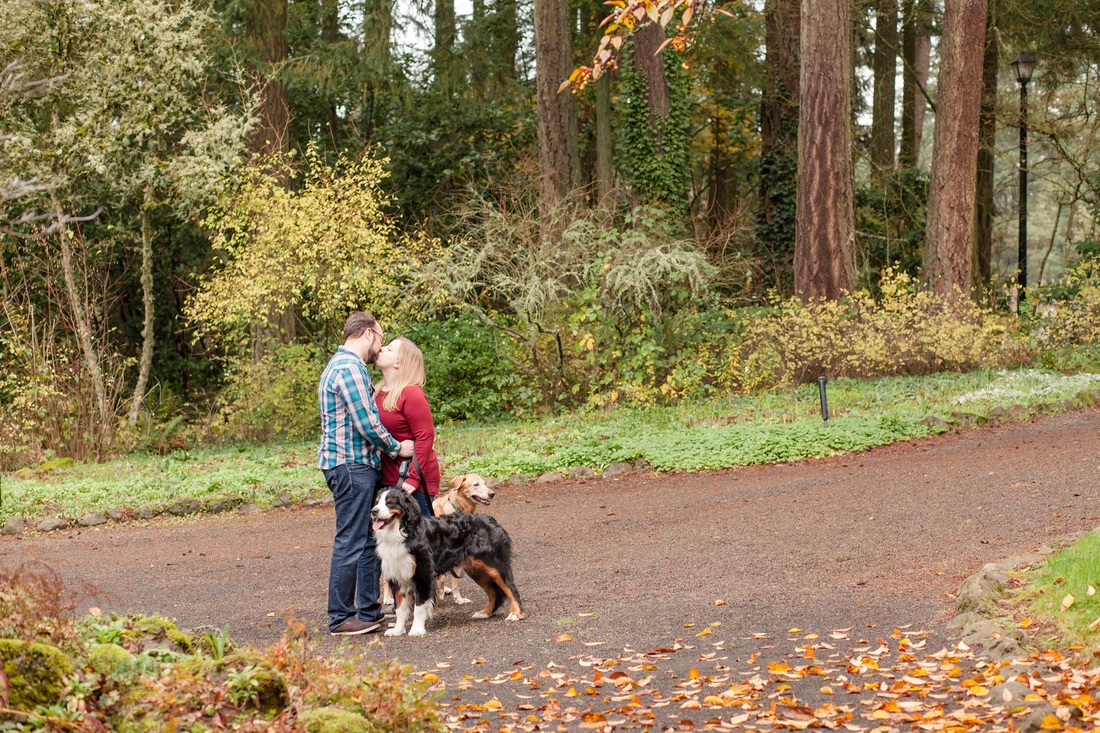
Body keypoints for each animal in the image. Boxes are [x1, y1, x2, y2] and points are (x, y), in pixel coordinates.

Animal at [369, 484, 523, 633]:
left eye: (390, 502)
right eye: (377, 502)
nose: (373, 511)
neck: (401, 532)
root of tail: (491, 520)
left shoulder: (422, 575)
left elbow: (419, 607)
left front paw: (416, 630)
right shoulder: (397, 575)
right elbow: (400, 609)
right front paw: (397, 630)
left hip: (494, 565)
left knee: (511, 588)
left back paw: (516, 613)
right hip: (477, 571)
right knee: (493, 592)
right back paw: (485, 612)